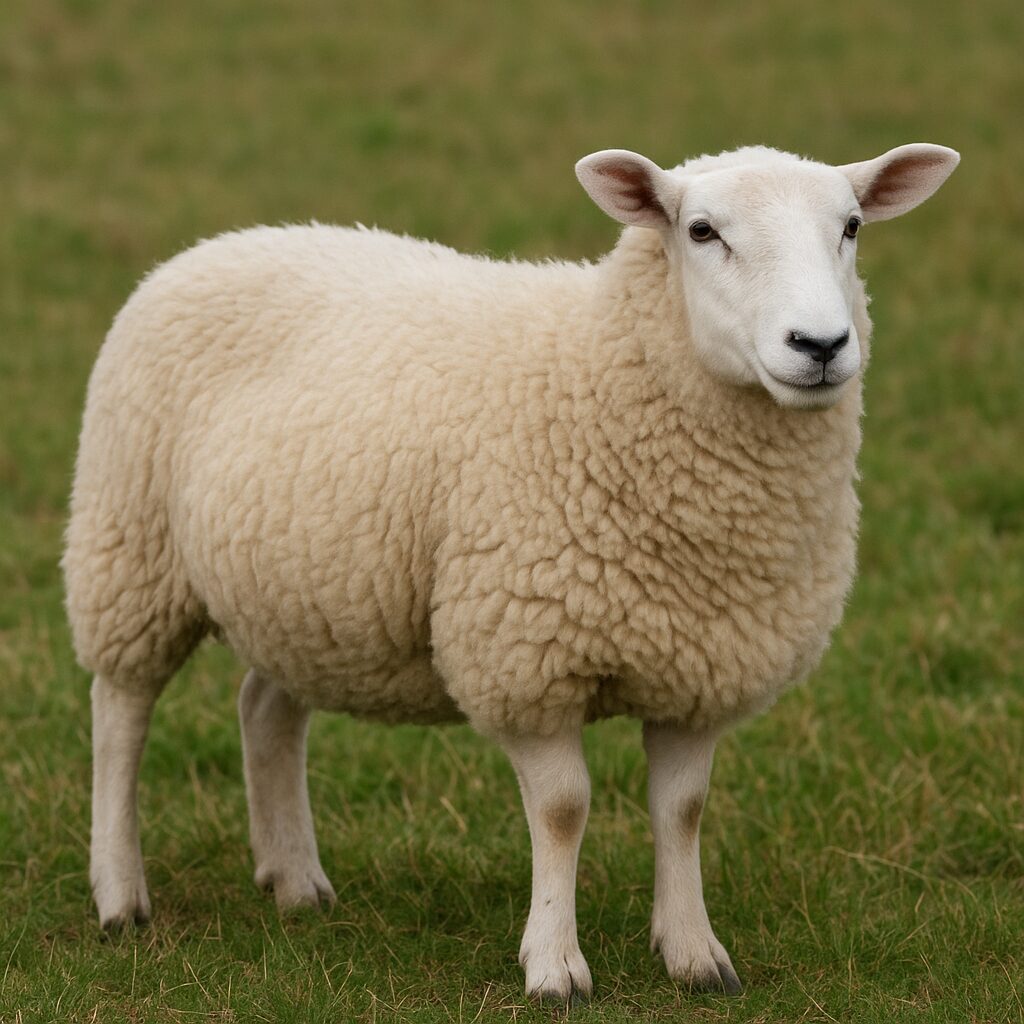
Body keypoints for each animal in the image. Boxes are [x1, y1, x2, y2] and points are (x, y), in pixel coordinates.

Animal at [64, 142, 959, 1001]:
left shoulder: (700, 667)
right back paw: (119, 895)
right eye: (702, 231)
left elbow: (683, 811)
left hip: (306, 591)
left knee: (266, 710)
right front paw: (555, 967)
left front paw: (695, 956)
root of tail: (220, 243)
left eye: (851, 227)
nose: (821, 346)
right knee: (120, 714)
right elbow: (563, 810)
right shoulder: (527, 656)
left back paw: (295, 881)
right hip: (130, 547)